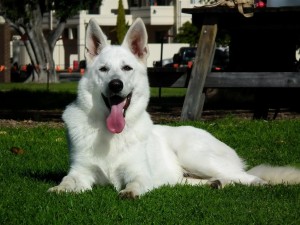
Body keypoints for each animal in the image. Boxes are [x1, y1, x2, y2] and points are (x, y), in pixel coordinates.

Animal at [48, 17, 300, 198]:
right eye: (103, 69)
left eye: (127, 68)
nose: (115, 85)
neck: (112, 134)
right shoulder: (81, 172)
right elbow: (68, 180)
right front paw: (59, 189)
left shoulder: (138, 172)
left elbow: (136, 182)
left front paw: (129, 192)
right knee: (198, 181)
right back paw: (213, 185)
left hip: (195, 156)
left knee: (247, 177)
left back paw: (257, 184)